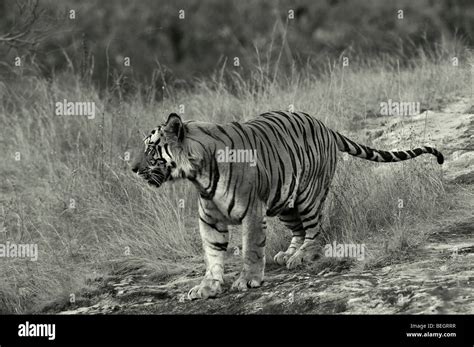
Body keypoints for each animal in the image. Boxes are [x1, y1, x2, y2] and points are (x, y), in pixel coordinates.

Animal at [131, 112, 444, 302]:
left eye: (150, 148)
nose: (132, 168)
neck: (198, 174)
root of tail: (325, 126)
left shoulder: (252, 212)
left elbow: (251, 249)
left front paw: (248, 280)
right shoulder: (210, 220)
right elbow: (212, 255)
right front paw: (208, 286)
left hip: (308, 195)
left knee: (316, 230)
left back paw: (304, 256)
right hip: (284, 202)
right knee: (299, 231)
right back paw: (289, 254)